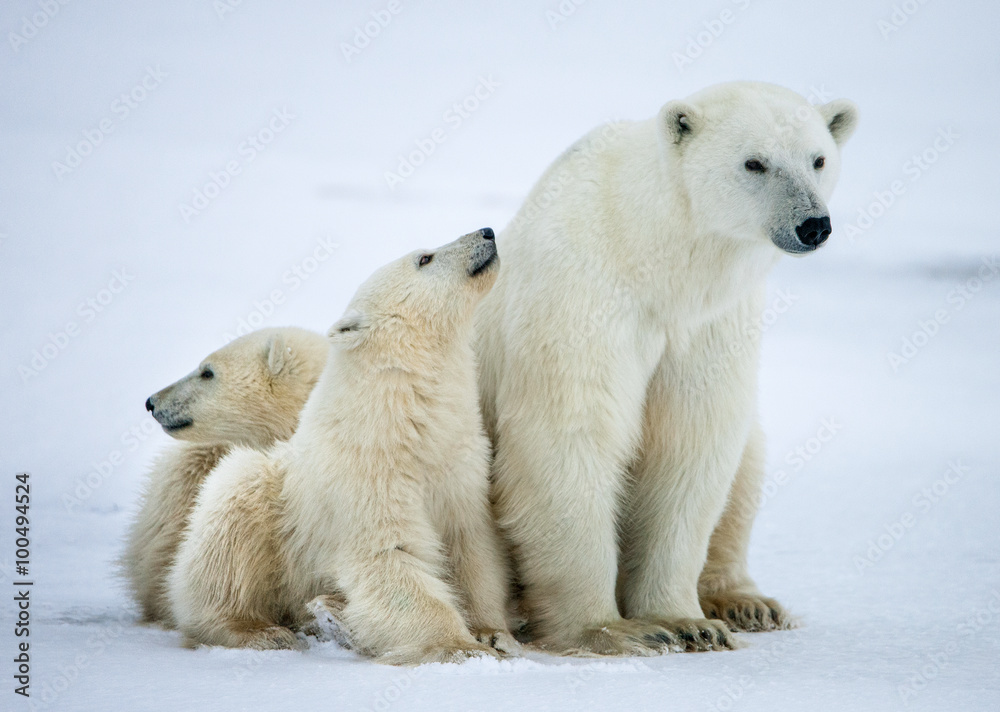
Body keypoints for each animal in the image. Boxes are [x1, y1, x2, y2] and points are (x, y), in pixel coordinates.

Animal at [168, 231, 516, 664]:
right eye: (424, 258)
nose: (486, 232)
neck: (402, 416)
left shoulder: (460, 464)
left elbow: (472, 546)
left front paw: (493, 634)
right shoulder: (368, 473)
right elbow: (387, 555)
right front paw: (461, 647)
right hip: (265, 504)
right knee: (226, 545)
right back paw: (263, 631)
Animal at [476, 80, 860, 652]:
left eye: (818, 159)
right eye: (754, 162)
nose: (813, 225)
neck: (653, 257)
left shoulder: (709, 324)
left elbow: (690, 445)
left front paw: (688, 623)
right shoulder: (582, 298)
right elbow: (569, 438)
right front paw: (612, 629)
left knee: (747, 462)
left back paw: (746, 602)